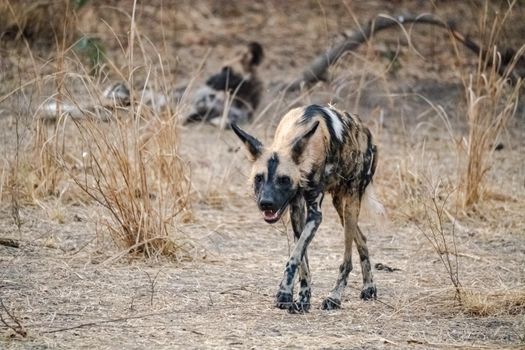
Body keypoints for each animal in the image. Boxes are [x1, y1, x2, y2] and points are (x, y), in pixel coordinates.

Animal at [230, 104, 380, 312]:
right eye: (259, 178)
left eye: (284, 180)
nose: (266, 203)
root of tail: (365, 129)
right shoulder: (297, 211)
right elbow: (302, 259)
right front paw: (301, 298)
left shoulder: (315, 215)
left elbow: (294, 256)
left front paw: (285, 292)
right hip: (340, 206)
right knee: (362, 239)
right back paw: (368, 286)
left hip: (350, 202)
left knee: (347, 259)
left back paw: (335, 297)